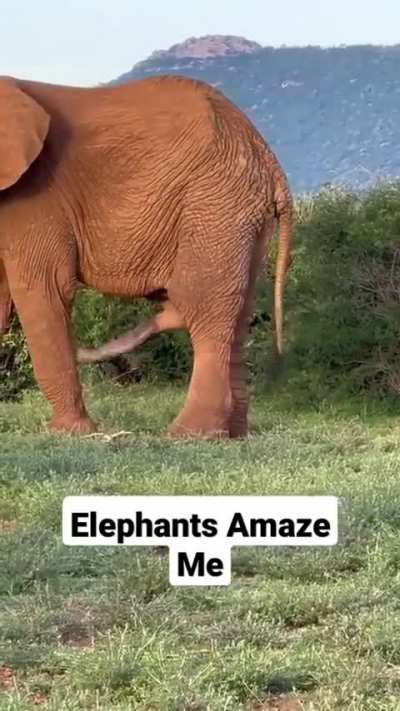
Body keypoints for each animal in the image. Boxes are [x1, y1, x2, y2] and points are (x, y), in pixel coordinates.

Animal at [0, 74, 293, 438]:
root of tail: (267, 155)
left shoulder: (36, 198)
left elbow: (46, 288)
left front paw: (68, 433)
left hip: (215, 202)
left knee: (203, 304)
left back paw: (189, 434)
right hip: (244, 215)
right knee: (239, 312)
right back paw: (233, 434)